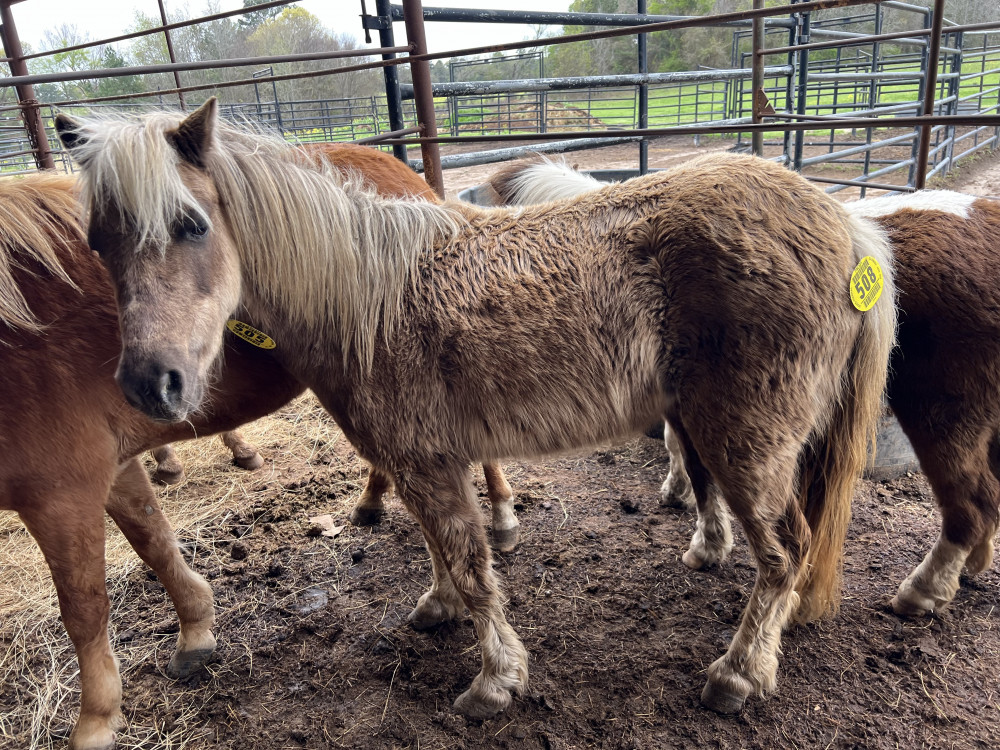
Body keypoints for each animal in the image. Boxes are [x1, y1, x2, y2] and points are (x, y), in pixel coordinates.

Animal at [0, 144, 513, 750]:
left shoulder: (60, 494)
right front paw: (195, 632)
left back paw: (500, 515)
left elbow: (83, 608)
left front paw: (96, 722)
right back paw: (372, 503)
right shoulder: (112, 465)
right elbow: (155, 541)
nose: (150, 387)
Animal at [56, 99, 896, 721]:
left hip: (748, 441)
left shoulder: (425, 462)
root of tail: (845, 223)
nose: (151, 384)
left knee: (785, 553)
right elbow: (441, 551)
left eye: (191, 224)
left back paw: (738, 674)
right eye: (99, 241)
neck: (369, 299)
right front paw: (437, 607)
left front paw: (495, 681)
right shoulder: (425, 460)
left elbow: (472, 564)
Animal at [489, 155, 1000, 618]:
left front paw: (705, 541)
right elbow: (685, 455)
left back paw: (921, 591)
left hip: (941, 418)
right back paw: (972, 566)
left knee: (969, 508)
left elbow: (694, 462)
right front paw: (685, 502)